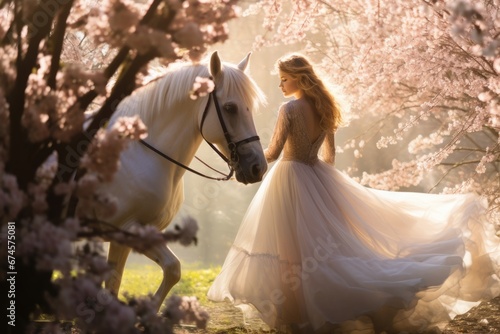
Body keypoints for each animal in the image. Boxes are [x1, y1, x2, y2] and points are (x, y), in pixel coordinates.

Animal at [95, 52, 266, 310]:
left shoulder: (122, 237)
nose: (258, 167)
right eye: (230, 108)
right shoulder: (128, 228)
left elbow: (116, 285)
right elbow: (172, 268)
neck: (138, 153)